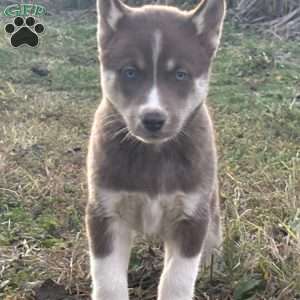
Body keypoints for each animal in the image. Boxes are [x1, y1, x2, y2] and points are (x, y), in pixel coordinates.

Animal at [85, 1, 226, 298]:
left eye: (180, 75)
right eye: (130, 72)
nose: (153, 119)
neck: (154, 154)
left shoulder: (192, 217)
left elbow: (177, 279)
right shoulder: (104, 214)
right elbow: (109, 282)